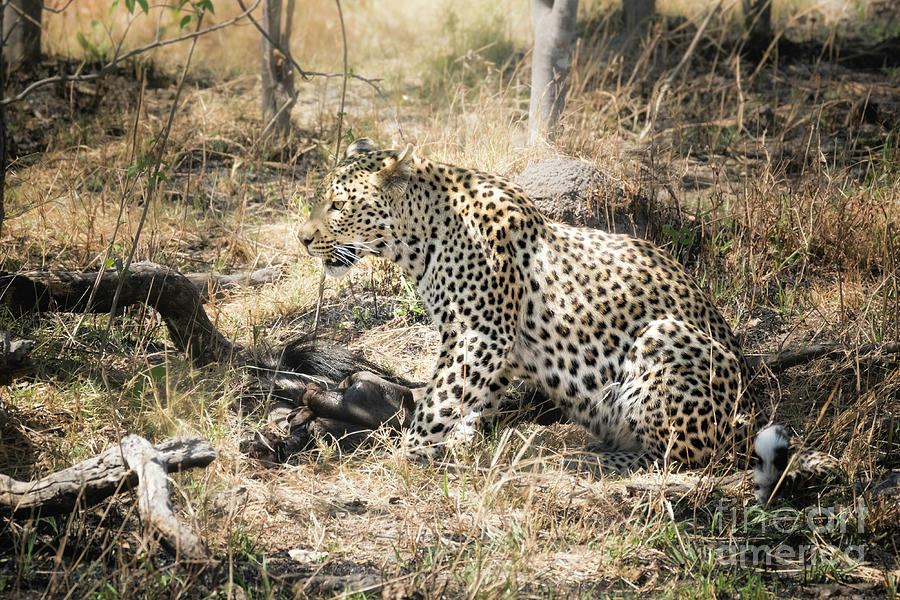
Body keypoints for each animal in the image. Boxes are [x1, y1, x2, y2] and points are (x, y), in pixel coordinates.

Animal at [298, 139, 840, 502]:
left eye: (337, 205)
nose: (302, 239)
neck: (418, 239)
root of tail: (746, 413)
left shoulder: (478, 334)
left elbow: (438, 401)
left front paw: (402, 458)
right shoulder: (493, 346)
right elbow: (468, 401)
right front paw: (460, 444)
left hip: (665, 340)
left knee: (680, 456)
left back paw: (587, 457)